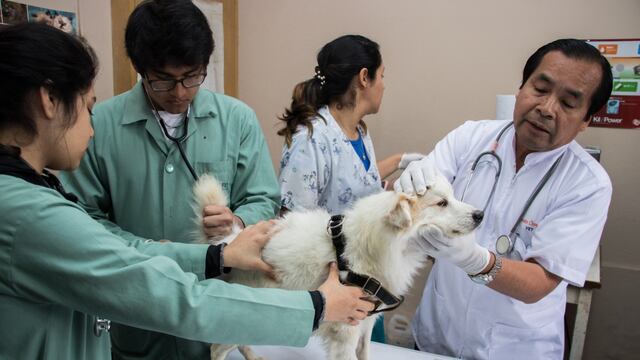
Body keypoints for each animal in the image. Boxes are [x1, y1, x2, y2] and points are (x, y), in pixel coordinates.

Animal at [192, 173, 482, 358]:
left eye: (453, 197)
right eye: (442, 203)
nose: (480, 214)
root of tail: (229, 241)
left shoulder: (366, 325)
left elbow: (366, 355)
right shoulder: (346, 331)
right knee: (217, 348)